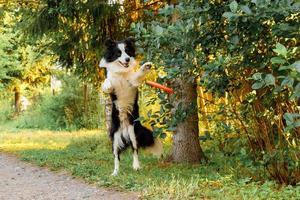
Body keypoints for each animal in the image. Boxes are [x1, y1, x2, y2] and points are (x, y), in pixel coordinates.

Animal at [99, 38, 163, 176]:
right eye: (118, 53)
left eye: (128, 51)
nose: (127, 59)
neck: (121, 72)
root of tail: (124, 132)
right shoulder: (113, 86)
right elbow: (107, 82)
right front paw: (107, 85)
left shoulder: (132, 83)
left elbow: (137, 75)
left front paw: (146, 66)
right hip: (115, 138)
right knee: (116, 157)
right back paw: (115, 172)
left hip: (133, 133)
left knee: (135, 150)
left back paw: (136, 166)